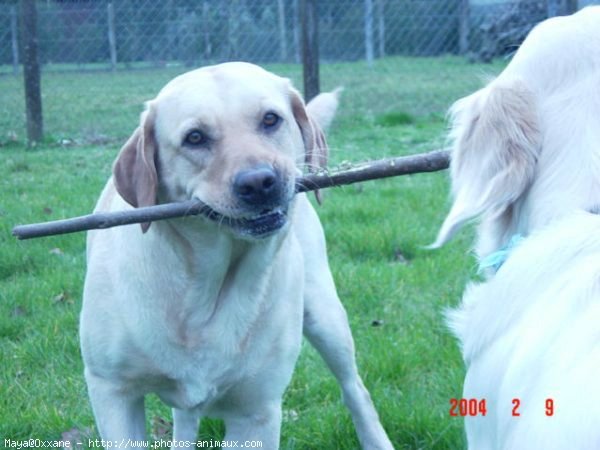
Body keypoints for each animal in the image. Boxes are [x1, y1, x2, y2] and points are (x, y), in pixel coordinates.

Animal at [81, 63, 394, 450]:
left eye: (270, 119)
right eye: (195, 138)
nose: (259, 182)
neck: (203, 290)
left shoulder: (256, 412)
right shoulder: (112, 391)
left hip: (325, 315)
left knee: (355, 390)